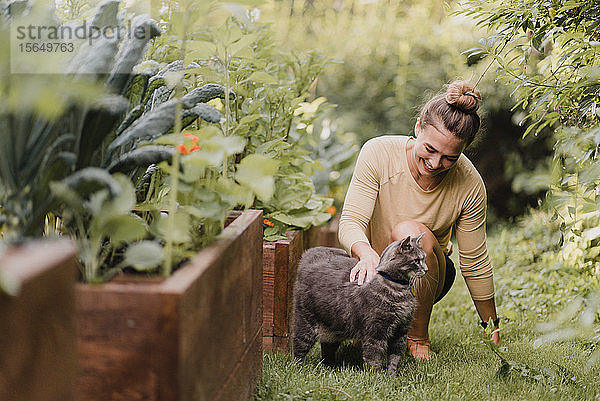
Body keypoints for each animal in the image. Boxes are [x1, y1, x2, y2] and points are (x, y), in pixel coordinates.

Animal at [292, 233, 426, 374]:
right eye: (416, 260)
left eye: (424, 258)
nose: (426, 269)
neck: (398, 290)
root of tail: (309, 253)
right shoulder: (375, 332)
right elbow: (374, 358)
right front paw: (377, 376)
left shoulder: (401, 332)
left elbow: (394, 358)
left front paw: (391, 375)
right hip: (305, 323)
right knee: (299, 347)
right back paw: (297, 368)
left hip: (333, 329)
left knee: (327, 350)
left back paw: (330, 368)